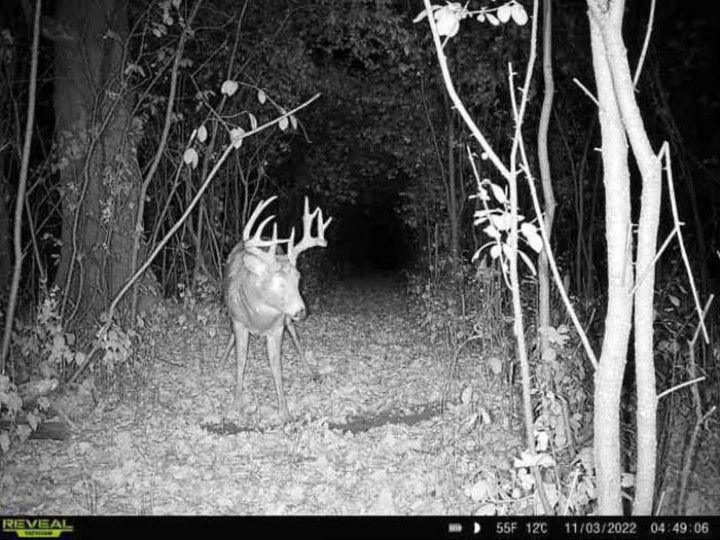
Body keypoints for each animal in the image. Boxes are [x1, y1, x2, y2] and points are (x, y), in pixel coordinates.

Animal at [223, 195, 332, 422]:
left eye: (298, 277)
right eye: (277, 283)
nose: (301, 311)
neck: (259, 316)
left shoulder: (277, 327)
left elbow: (275, 364)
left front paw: (285, 411)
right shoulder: (238, 321)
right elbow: (240, 360)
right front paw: (235, 405)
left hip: (287, 320)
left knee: (296, 337)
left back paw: (312, 372)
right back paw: (220, 364)